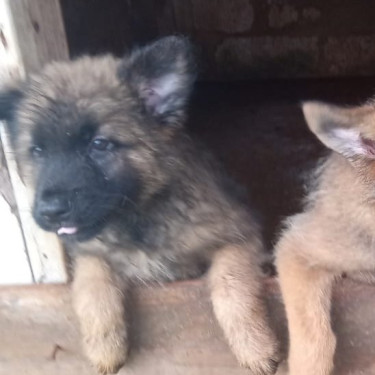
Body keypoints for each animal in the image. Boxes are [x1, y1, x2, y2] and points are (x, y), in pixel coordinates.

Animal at [0, 36, 280, 374]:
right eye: (38, 151)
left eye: (99, 144)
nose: (50, 212)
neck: (138, 217)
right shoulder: (90, 252)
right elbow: (91, 284)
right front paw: (104, 347)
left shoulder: (239, 236)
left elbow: (231, 284)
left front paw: (255, 346)